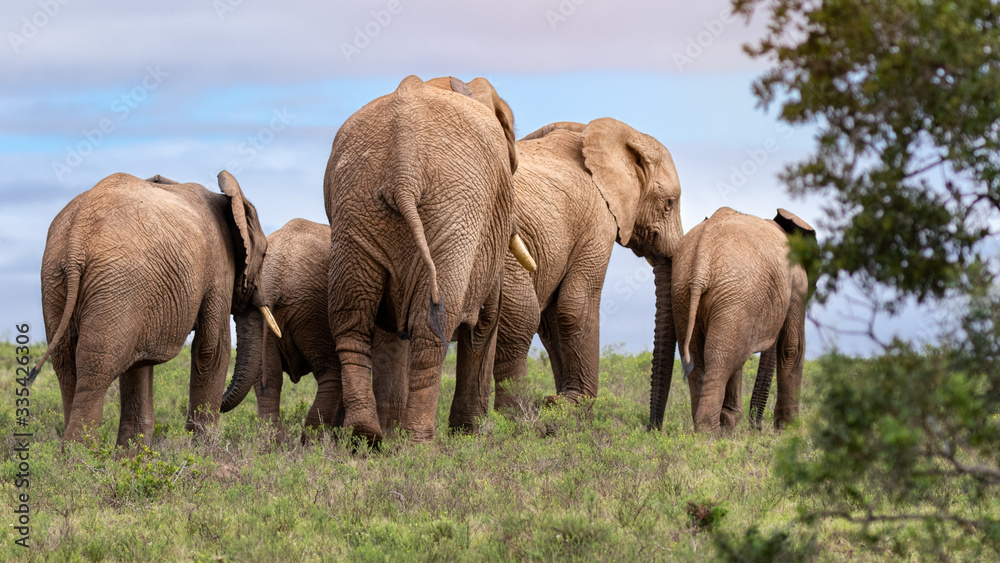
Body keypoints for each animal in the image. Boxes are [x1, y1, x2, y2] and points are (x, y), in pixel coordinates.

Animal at [31, 171, 280, 447]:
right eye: (265, 254)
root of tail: (76, 236)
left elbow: (139, 364)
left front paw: (132, 456)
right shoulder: (218, 267)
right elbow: (212, 350)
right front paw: (203, 450)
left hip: (57, 279)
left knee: (67, 366)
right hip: (117, 283)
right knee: (96, 369)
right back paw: (81, 456)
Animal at [324, 75, 534, 443]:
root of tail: (403, 169)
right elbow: (485, 320)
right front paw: (472, 433)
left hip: (357, 205)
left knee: (352, 320)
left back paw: (365, 435)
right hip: (454, 212)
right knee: (432, 325)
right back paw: (420, 442)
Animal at [491, 119, 684, 409]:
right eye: (669, 204)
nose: (653, 422)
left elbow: (552, 322)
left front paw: (558, 404)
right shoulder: (598, 218)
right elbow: (576, 304)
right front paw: (573, 407)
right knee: (522, 315)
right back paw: (514, 416)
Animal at [647, 207, 815, 432]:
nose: (757, 428)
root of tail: (701, 260)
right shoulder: (798, 283)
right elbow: (792, 348)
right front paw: (789, 430)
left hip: (686, 292)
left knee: (704, 359)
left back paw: (709, 431)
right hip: (734, 293)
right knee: (720, 360)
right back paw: (710, 433)